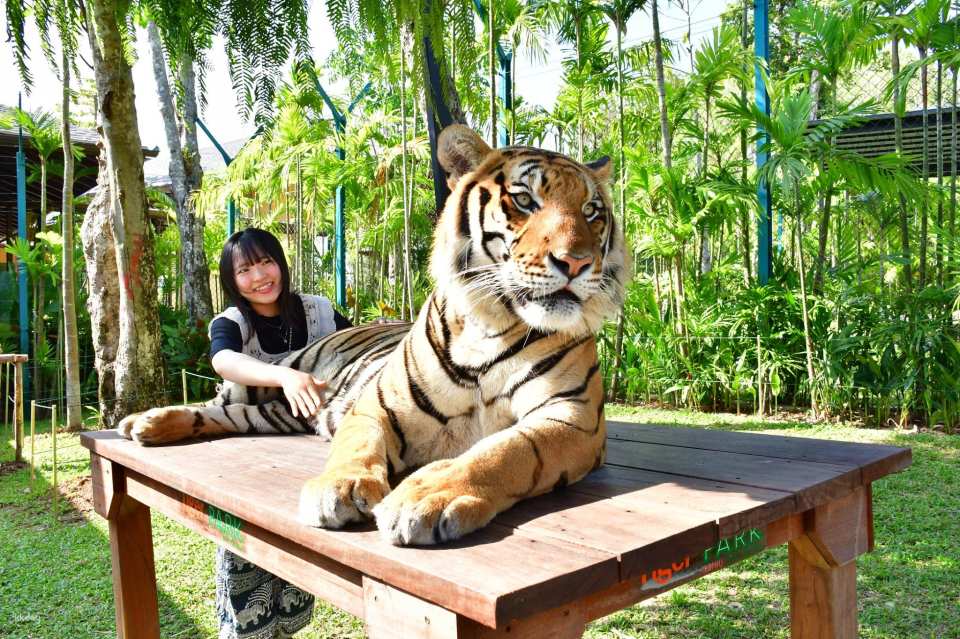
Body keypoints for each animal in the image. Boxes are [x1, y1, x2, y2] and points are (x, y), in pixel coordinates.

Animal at [117, 124, 630, 546]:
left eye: (591, 211)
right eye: (524, 200)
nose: (577, 263)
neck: (494, 322)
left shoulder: (572, 416)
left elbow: (504, 451)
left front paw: (427, 496)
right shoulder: (376, 405)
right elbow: (356, 445)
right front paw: (337, 488)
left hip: (273, 415)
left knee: (234, 416)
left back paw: (147, 426)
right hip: (274, 375)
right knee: (217, 399)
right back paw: (142, 420)